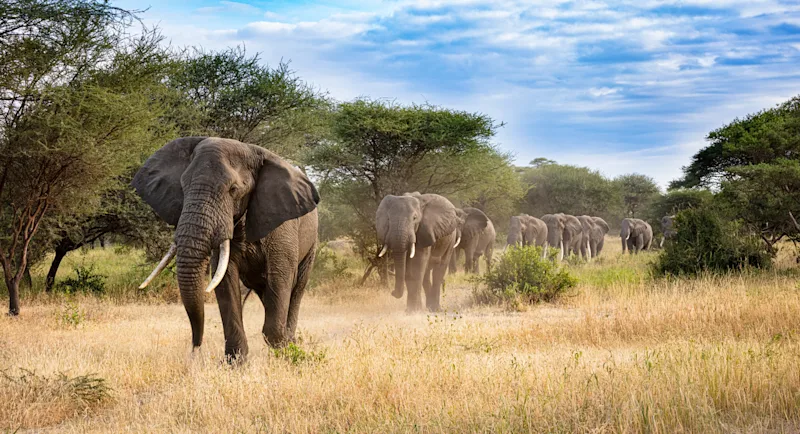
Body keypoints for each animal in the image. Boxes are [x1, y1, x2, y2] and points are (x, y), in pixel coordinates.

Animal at [132, 137, 319, 362]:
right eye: (183, 187)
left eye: (233, 190)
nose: (195, 348)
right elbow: (225, 280)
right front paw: (235, 364)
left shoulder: (283, 227)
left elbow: (280, 276)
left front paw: (283, 356)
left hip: (312, 244)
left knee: (296, 288)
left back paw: (291, 344)